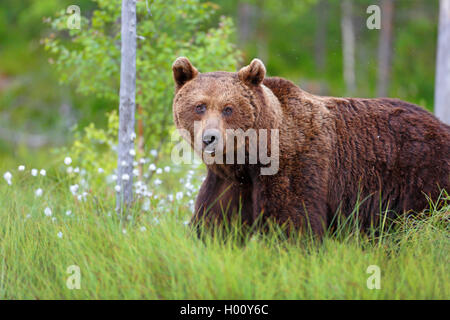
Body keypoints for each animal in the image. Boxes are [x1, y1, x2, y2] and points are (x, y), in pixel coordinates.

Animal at [172, 57, 450, 235]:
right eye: (200, 106)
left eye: (228, 108)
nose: (210, 138)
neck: (250, 157)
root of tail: (440, 124)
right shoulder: (230, 181)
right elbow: (215, 218)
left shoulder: (295, 163)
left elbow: (292, 221)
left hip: (422, 174)